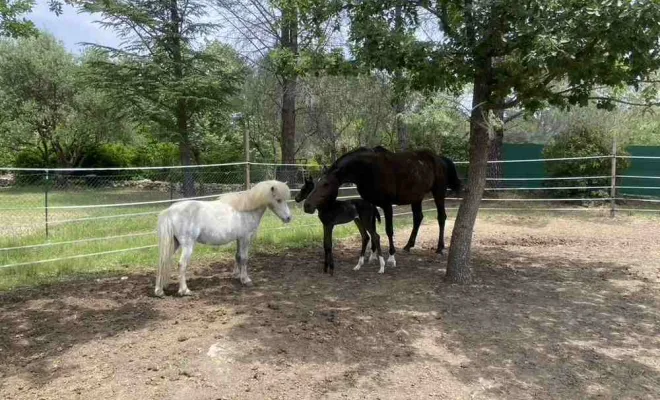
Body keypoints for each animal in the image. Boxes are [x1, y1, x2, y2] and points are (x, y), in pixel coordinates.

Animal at [155, 179, 292, 296]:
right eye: (278, 200)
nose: (288, 218)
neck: (246, 209)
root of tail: (170, 211)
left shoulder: (239, 239)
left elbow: (238, 256)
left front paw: (237, 276)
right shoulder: (245, 238)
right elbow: (244, 258)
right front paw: (246, 280)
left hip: (174, 243)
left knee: (163, 262)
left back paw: (159, 291)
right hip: (187, 245)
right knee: (182, 264)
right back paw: (184, 291)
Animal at [302, 145, 462, 270]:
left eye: (326, 184)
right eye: (316, 184)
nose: (307, 206)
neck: (368, 169)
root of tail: (439, 159)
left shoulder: (387, 205)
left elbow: (388, 230)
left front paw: (391, 258)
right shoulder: (370, 204)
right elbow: (373, 230)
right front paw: (373, 255)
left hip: (438, 193)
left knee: (441, 217)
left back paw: (440, 248)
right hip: (417, 197)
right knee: (418, 218)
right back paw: (408, 245)